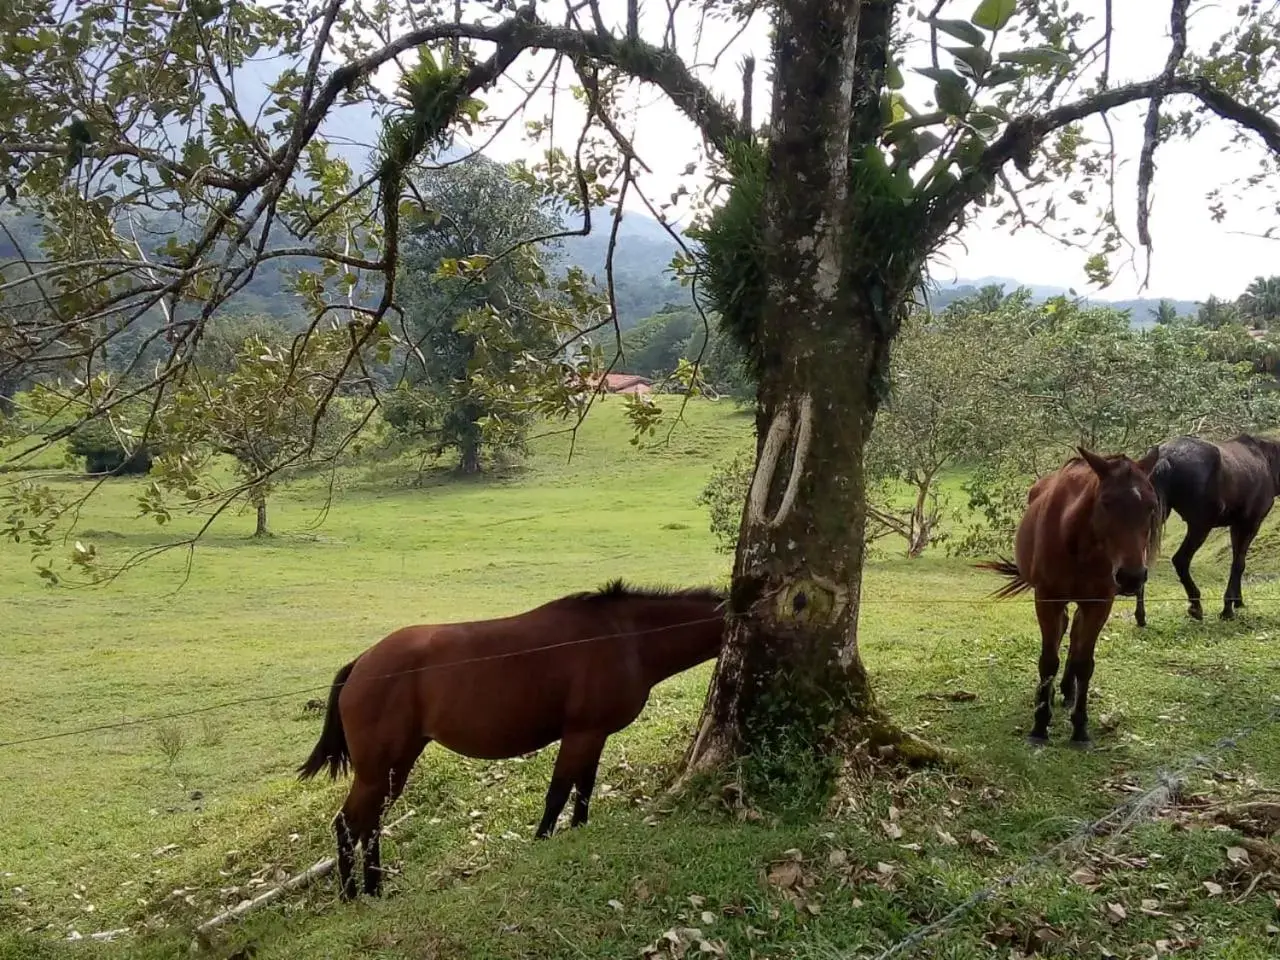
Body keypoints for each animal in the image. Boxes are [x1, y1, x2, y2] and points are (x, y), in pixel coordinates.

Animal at [293, 578, 727, 901]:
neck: (626, 637)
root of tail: (361, 664)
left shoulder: (595, 735)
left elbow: (584, 790)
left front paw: (577, 832)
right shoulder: (580, 734)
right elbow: (558, 793)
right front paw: (542, 842)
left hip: (395, 765)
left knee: (371, 823)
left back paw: (374, 889)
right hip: (377, 768)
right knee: (348, 824)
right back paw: (351, 895)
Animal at [972, 448, 1167, 747]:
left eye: (1151, 506)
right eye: (1106, 502)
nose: (1132, 577)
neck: (1078, 542)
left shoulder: (1099, 603)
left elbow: (1084, 662)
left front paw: (1080, 728)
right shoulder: (1047, 599)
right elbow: (1048, 660)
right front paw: (1040, 726)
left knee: (1074, 635)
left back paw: (1067, 689)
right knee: (1064, 630)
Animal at [1136, 437, 1274, 632]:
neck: (1265, 458)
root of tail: (1164, 456)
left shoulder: (1236, 526)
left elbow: (1237, 561)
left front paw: (1237, 601)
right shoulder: (1251, 524)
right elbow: (1238, 564)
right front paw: (1228, 609)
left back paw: (1140, 617)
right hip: (1200, 527)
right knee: (1181, 560)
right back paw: (1196, 606)